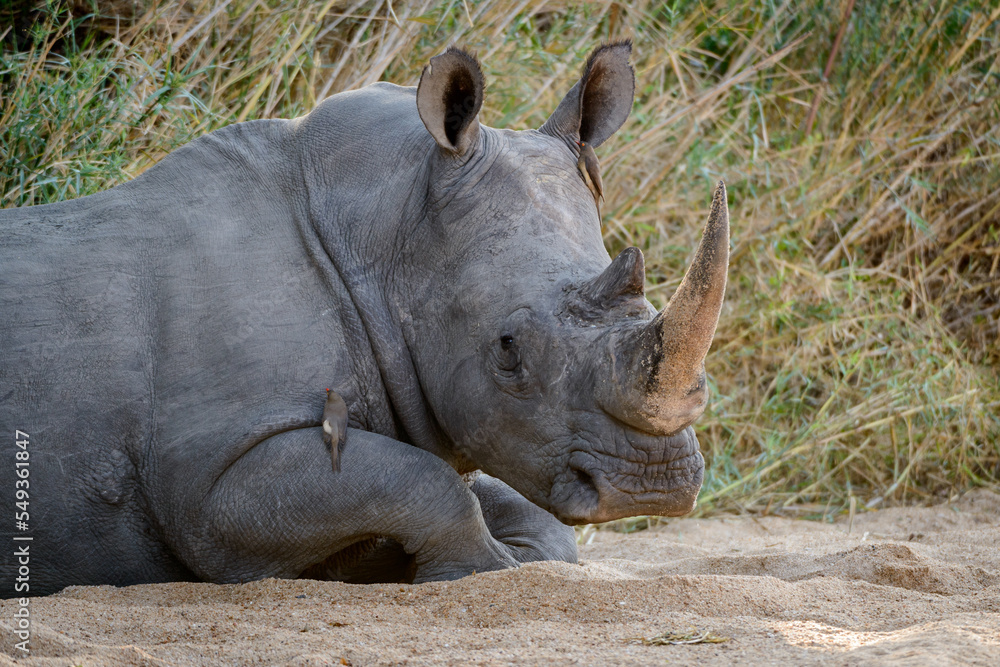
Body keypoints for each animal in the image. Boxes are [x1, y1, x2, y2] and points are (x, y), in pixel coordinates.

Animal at [0, 42, 729, 596]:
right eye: (508, 349)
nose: (651, 484)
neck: (387, 238)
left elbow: (511, 509)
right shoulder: (208, 488)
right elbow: (421, 481)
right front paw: (480, 567)